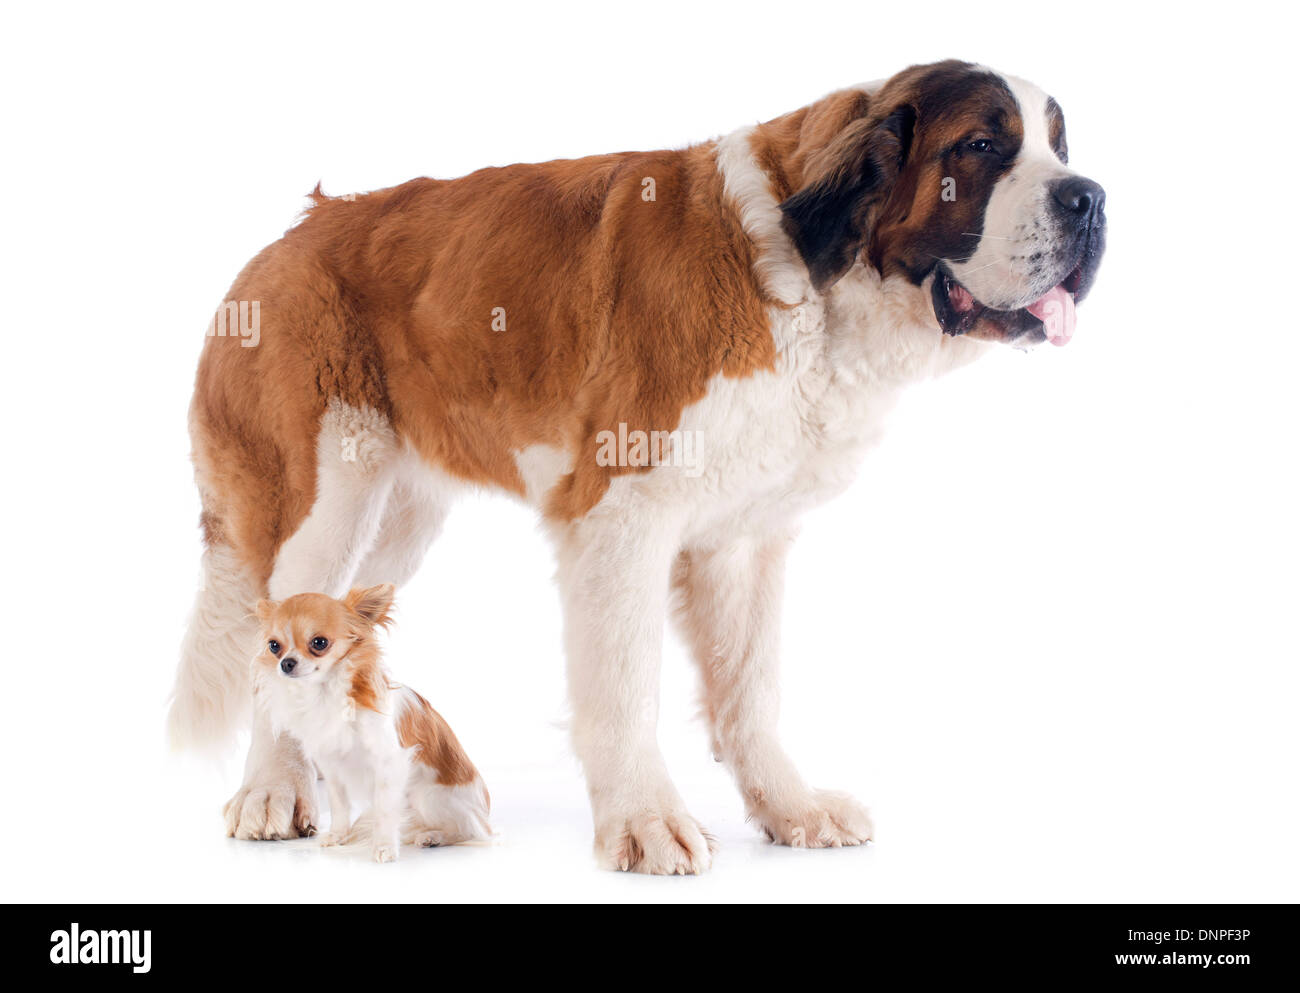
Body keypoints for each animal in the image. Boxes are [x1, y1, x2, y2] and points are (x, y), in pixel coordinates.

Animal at [245, 582, 488, 863]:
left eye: (319, 643)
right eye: (274, 646)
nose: (286, 663)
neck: (325, 693)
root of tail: (485, 807)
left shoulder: (389, 763)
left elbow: (384, 810)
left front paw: (384, 847)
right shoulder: (332, 767)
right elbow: (339, 805)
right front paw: (337, 836)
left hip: (426, 796)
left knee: (470, 830)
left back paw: (434, 836)